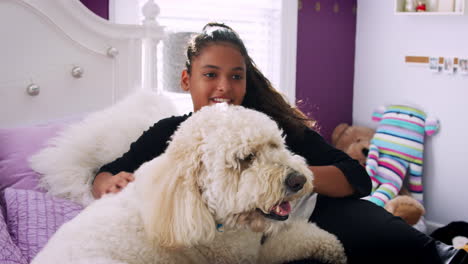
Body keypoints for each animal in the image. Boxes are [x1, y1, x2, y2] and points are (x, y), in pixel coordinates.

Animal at [31, 104, 346, 262]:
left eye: (275, 145)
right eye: (245, 158)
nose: (299, 180)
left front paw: (331, 245)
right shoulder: (240, 257)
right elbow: (281, 245)